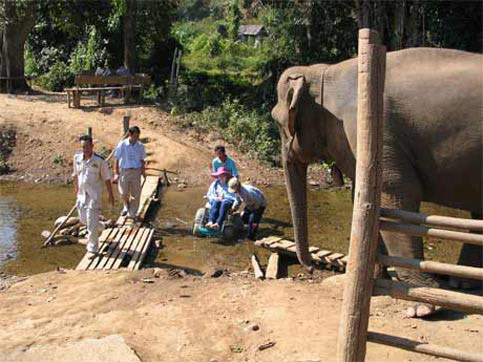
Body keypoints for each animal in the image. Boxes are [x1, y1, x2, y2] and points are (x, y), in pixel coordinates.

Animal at [272, 48, 483, 316]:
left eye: (278, 123)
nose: (309, 268)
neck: (323, 71)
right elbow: (365, 200)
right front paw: (371, 284)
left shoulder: (370, 130)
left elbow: (392, 195)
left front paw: (422, 308)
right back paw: (462, 283)